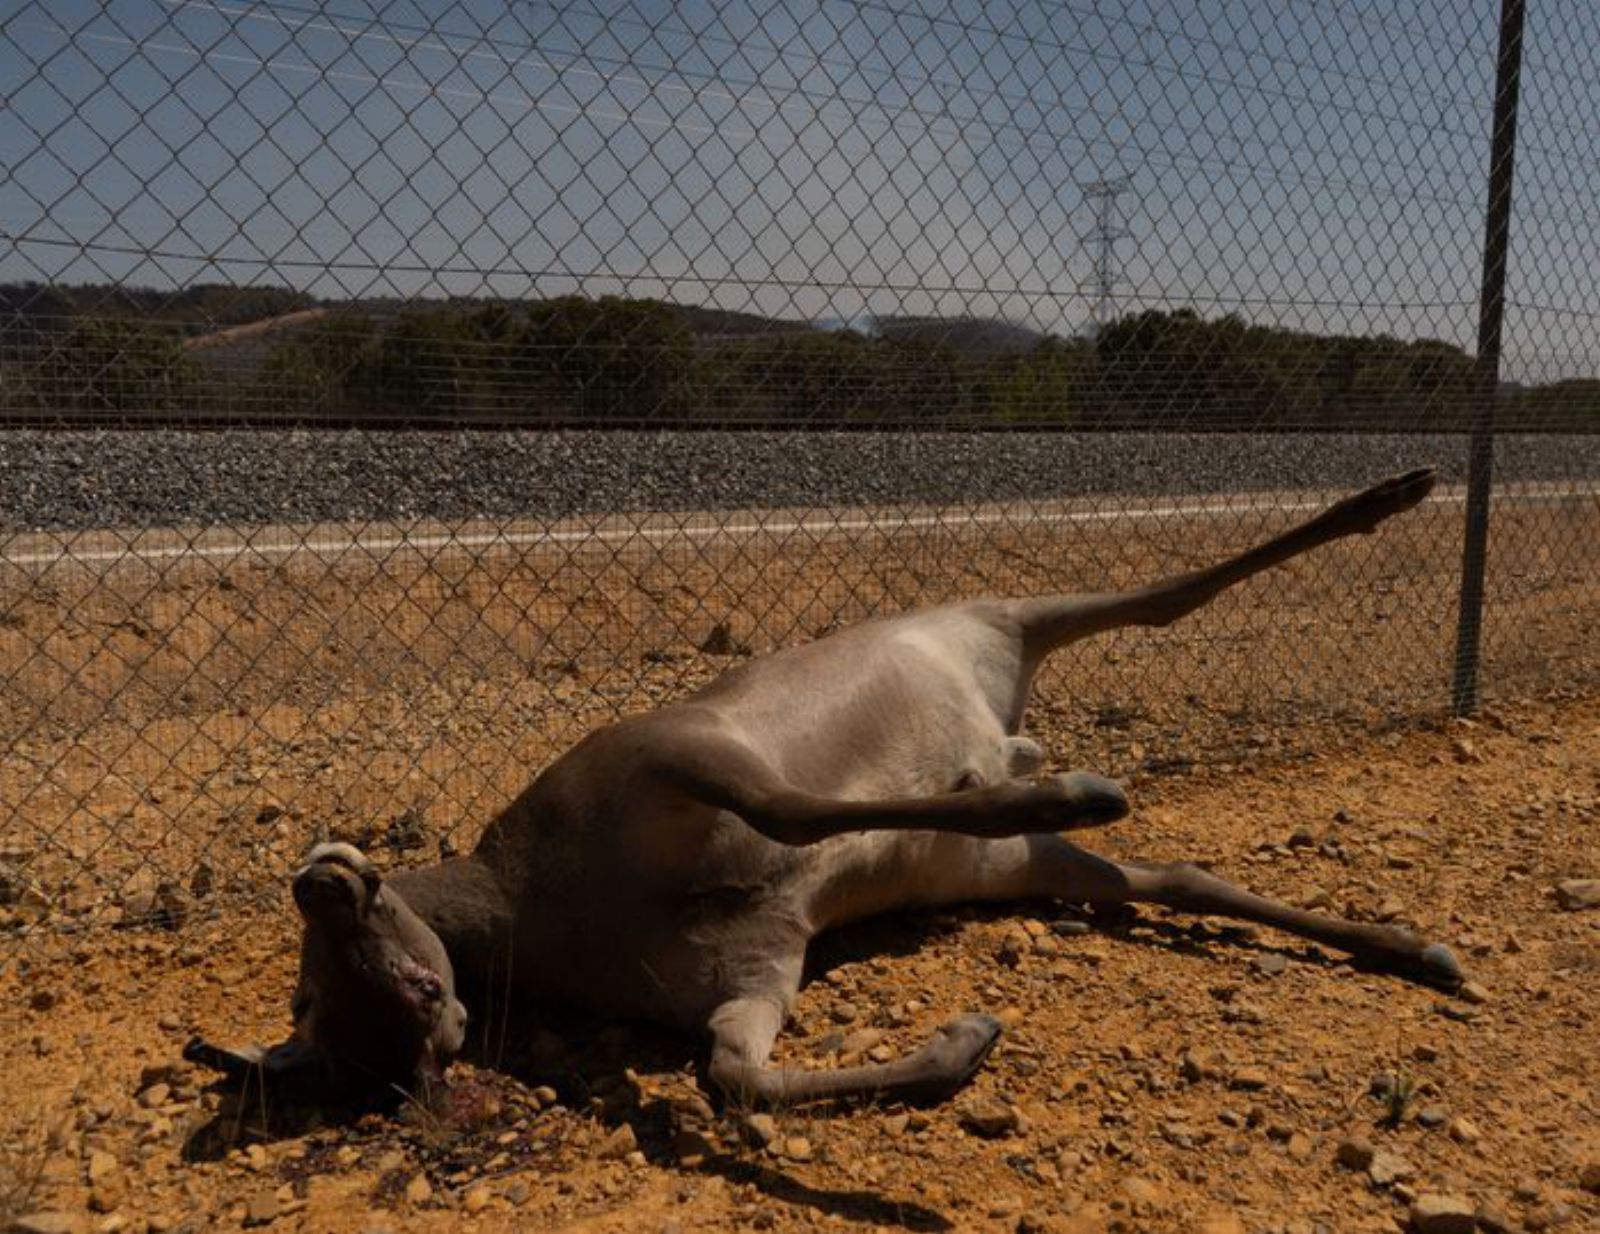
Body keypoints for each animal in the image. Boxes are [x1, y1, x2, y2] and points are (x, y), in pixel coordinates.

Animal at [187, 470, 1465, 1107]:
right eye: (324, 1001)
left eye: (411, 977)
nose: (323, 882)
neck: (549, 900)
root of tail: (1000, 683)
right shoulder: (755, 971)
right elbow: (738, 1076)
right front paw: (967, 1036)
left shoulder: (670, 750)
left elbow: (790, 810)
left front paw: (1066, 788)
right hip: (998, 869)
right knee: (1174, 872)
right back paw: (1413, 946)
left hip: (1000, 614)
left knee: (1167, 598)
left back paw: (1393, 491)